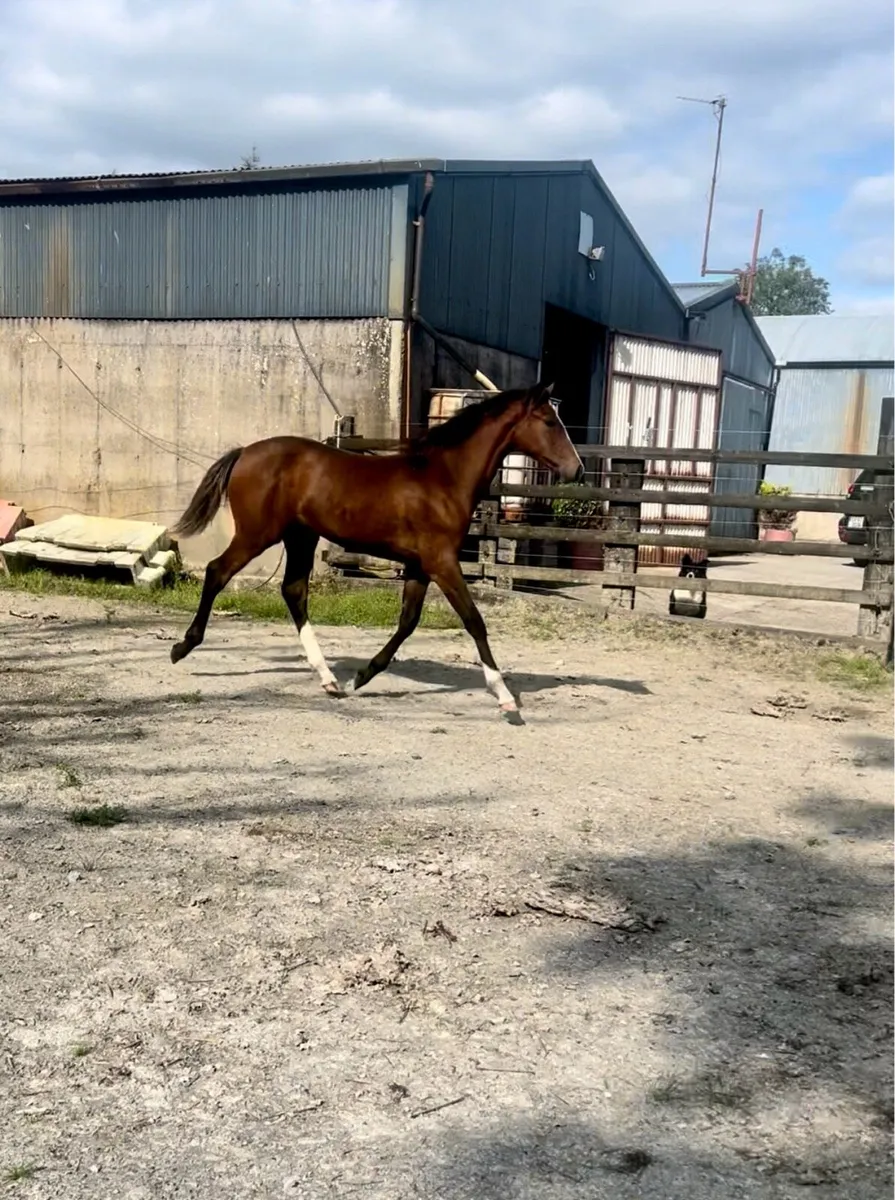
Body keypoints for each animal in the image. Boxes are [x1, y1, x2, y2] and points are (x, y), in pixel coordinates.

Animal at [168, 382, 583, 722]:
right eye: (550, 422)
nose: (576, 470)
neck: (444, 478)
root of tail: (244, 452)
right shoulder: (442, 562)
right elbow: (473, 620)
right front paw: (504, 697)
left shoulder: (419, 566)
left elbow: (408, 622)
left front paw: (361, 677)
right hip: (258, 534)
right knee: (218, 571)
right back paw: (182, 647)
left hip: (300, 538)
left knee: (293, 591)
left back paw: (329, 680)